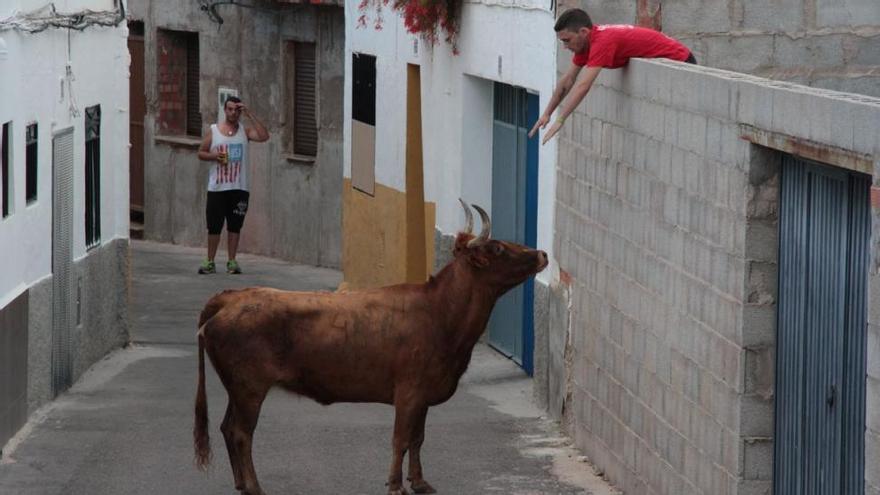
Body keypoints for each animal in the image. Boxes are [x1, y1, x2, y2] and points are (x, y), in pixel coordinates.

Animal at [196, 200, 548, 494]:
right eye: (498, 248)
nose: (542, 254)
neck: (439, 312)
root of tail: (231, 298)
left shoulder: (423, 395)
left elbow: (418, 439)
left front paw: (419, 482)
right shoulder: (409, 392)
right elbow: (400, 440)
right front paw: (395, 486)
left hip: (238, 389)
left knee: (227, 428)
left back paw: (241, 484)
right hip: (250, 387)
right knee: (242, 433)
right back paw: (254, 487)